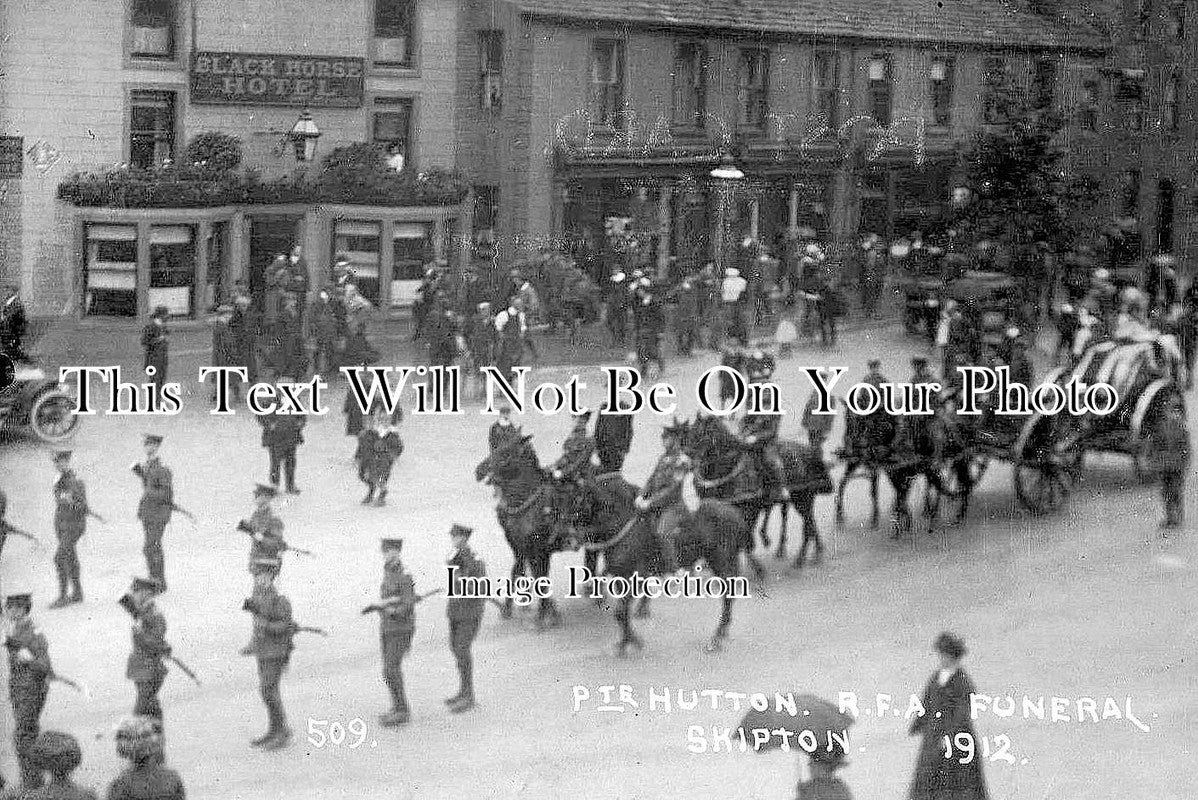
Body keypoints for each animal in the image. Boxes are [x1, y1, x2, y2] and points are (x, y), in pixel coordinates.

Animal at [472, 433, 570, 627]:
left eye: (506, 452)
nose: (479, 470)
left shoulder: (539, 548)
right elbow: (518, 571)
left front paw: (543, 616)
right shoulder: (518, 545)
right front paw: (510, 609)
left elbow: (539, 577)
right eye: (495, 446)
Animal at [567, 471, 747, 651]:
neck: (626, 530)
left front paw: (633, 642)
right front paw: (626, 641)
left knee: (727, 595)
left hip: (720, 560)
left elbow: (620, 612)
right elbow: (622, 613)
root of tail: (733, 512)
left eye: (579, 497)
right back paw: (722, 632)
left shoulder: (635, 578)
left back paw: (716, 638)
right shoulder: (620, 577)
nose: (570, 534)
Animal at [680, 411, 829, 567]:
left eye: (702, 433)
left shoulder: (751, 508)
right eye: (691, 431)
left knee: (808, 525)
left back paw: (802, 558)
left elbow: (746, 534)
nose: (686, 454)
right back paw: (811, 550)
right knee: (808, 522)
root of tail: (808, 451)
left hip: (801, 498)